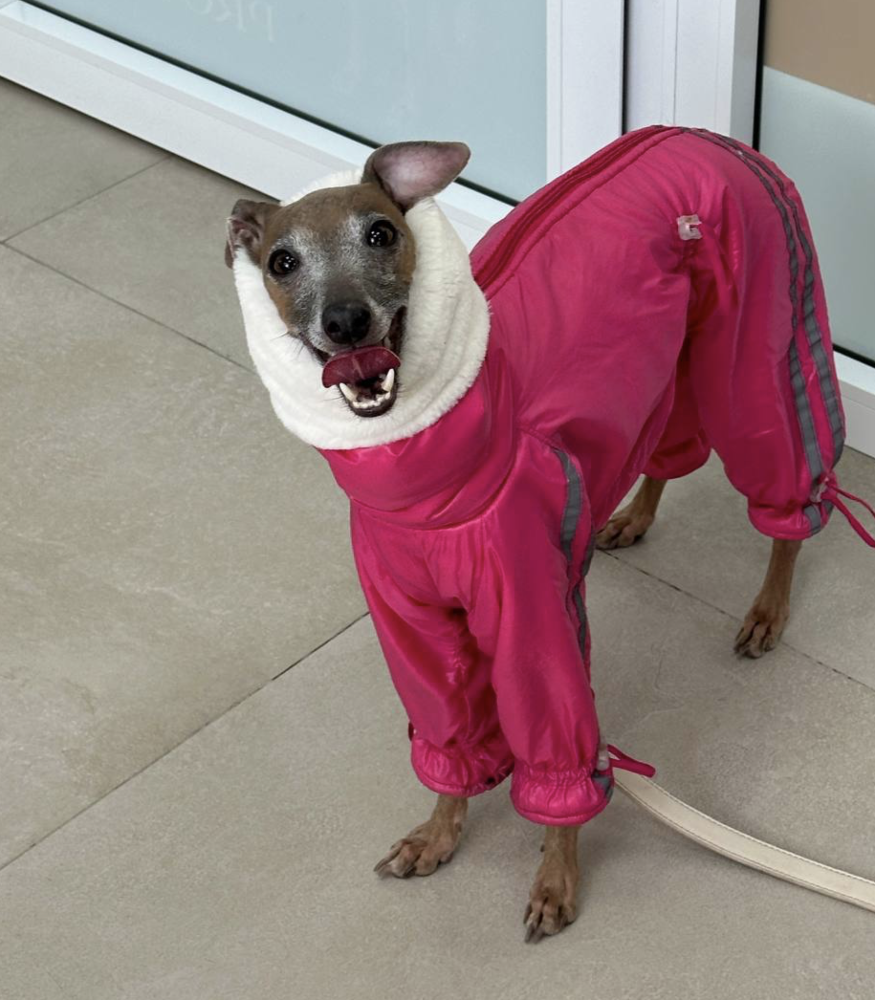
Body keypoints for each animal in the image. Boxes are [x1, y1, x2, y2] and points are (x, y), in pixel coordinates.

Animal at [226, 129, 859, 941]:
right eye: (281, 261)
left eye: (381, 233)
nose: (344, 322)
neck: (428, 493)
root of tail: (699, 135)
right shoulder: (414, 628)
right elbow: (449, 738)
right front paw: (438, 833)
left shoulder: (537, 622)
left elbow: (558, 751)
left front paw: (556, 877)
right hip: (659, 365)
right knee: (666, 449)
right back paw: (631, 514)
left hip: (758, 345)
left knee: (789, 489)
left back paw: (768, 608)